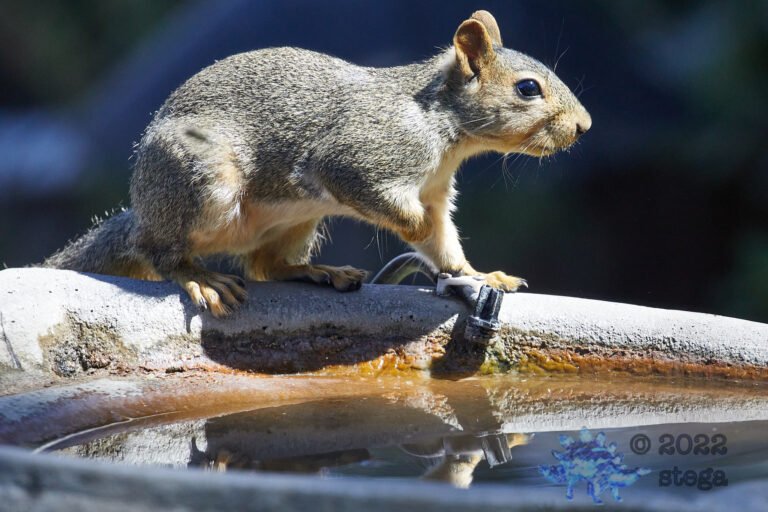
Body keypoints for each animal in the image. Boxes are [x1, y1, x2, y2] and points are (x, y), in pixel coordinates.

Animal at [44, 10, 591, 318]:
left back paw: (316, 271)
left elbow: (444, 243)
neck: (444, 127)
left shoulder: (436, 192)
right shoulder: (363, 154)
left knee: (265, 265)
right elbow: (389, 204)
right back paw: (199, 276)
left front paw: (479, 276)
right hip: (202, 183)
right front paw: (409, 228)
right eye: (527, 88)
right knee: (161, 252)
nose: (583, 126)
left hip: (298, 220)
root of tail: (141, 211)